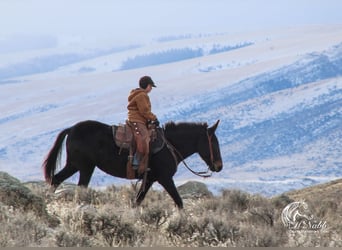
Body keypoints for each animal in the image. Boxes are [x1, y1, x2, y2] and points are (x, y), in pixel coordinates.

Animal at [42, 120, 223, 208]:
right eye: (214, 143)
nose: (219, 166)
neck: (169, 145)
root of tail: (71, 129)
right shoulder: (165, 178)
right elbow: (179, 202)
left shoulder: (149, 179)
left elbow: (137, 201)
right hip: (85, 167)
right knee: (77, 186)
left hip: (74, 165)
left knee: (56, 179)